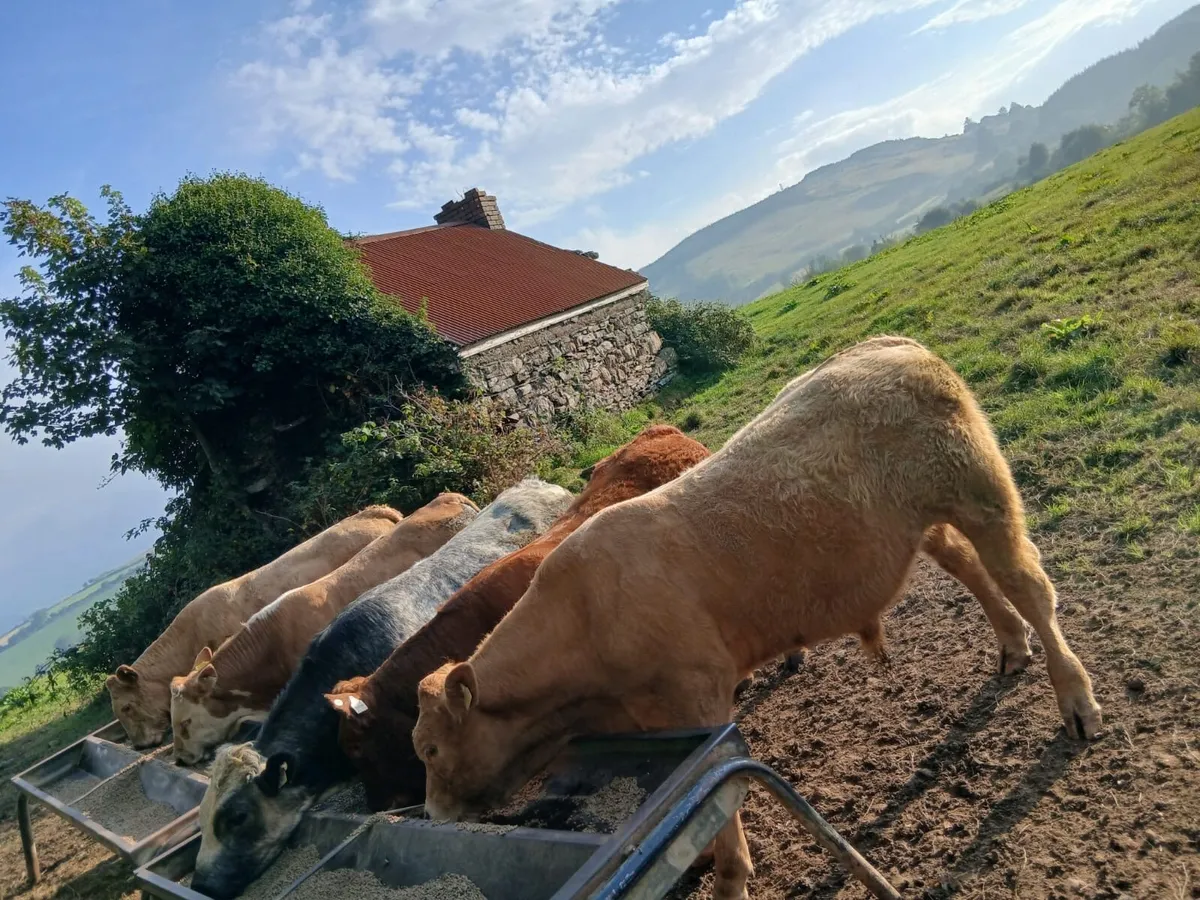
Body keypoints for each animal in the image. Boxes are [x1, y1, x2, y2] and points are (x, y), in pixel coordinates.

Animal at [412, 337, 1103, 900]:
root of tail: (883, 346)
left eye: (429, 748)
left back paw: (1076, 701)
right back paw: (1012, 647)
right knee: (973, 572)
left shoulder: (700, 695)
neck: (585, 622)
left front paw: (728, 878)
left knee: (1029, 585)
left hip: (982, 494)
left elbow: (721, 813)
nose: (434, 816)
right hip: (923, 523)